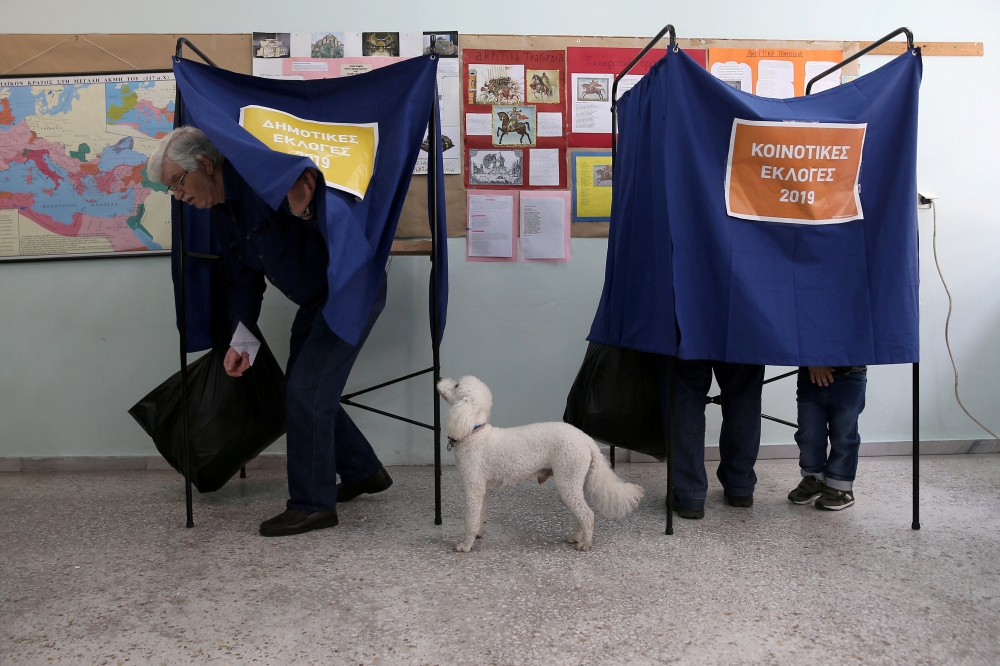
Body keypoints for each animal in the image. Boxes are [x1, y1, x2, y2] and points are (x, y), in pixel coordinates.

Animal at [436, 374, 640, 548]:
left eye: (456, 385)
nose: (438, 378)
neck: (473, 432)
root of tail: (587, 441)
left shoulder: (473, 487)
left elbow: (470, 519)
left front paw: (465, 545)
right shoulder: (481, 488)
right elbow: (479, 515)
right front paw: (478, 534)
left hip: (567, 479)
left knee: (587, 515)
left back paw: (585, 544)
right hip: (574, 482)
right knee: (579, 513)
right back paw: (575, 537)